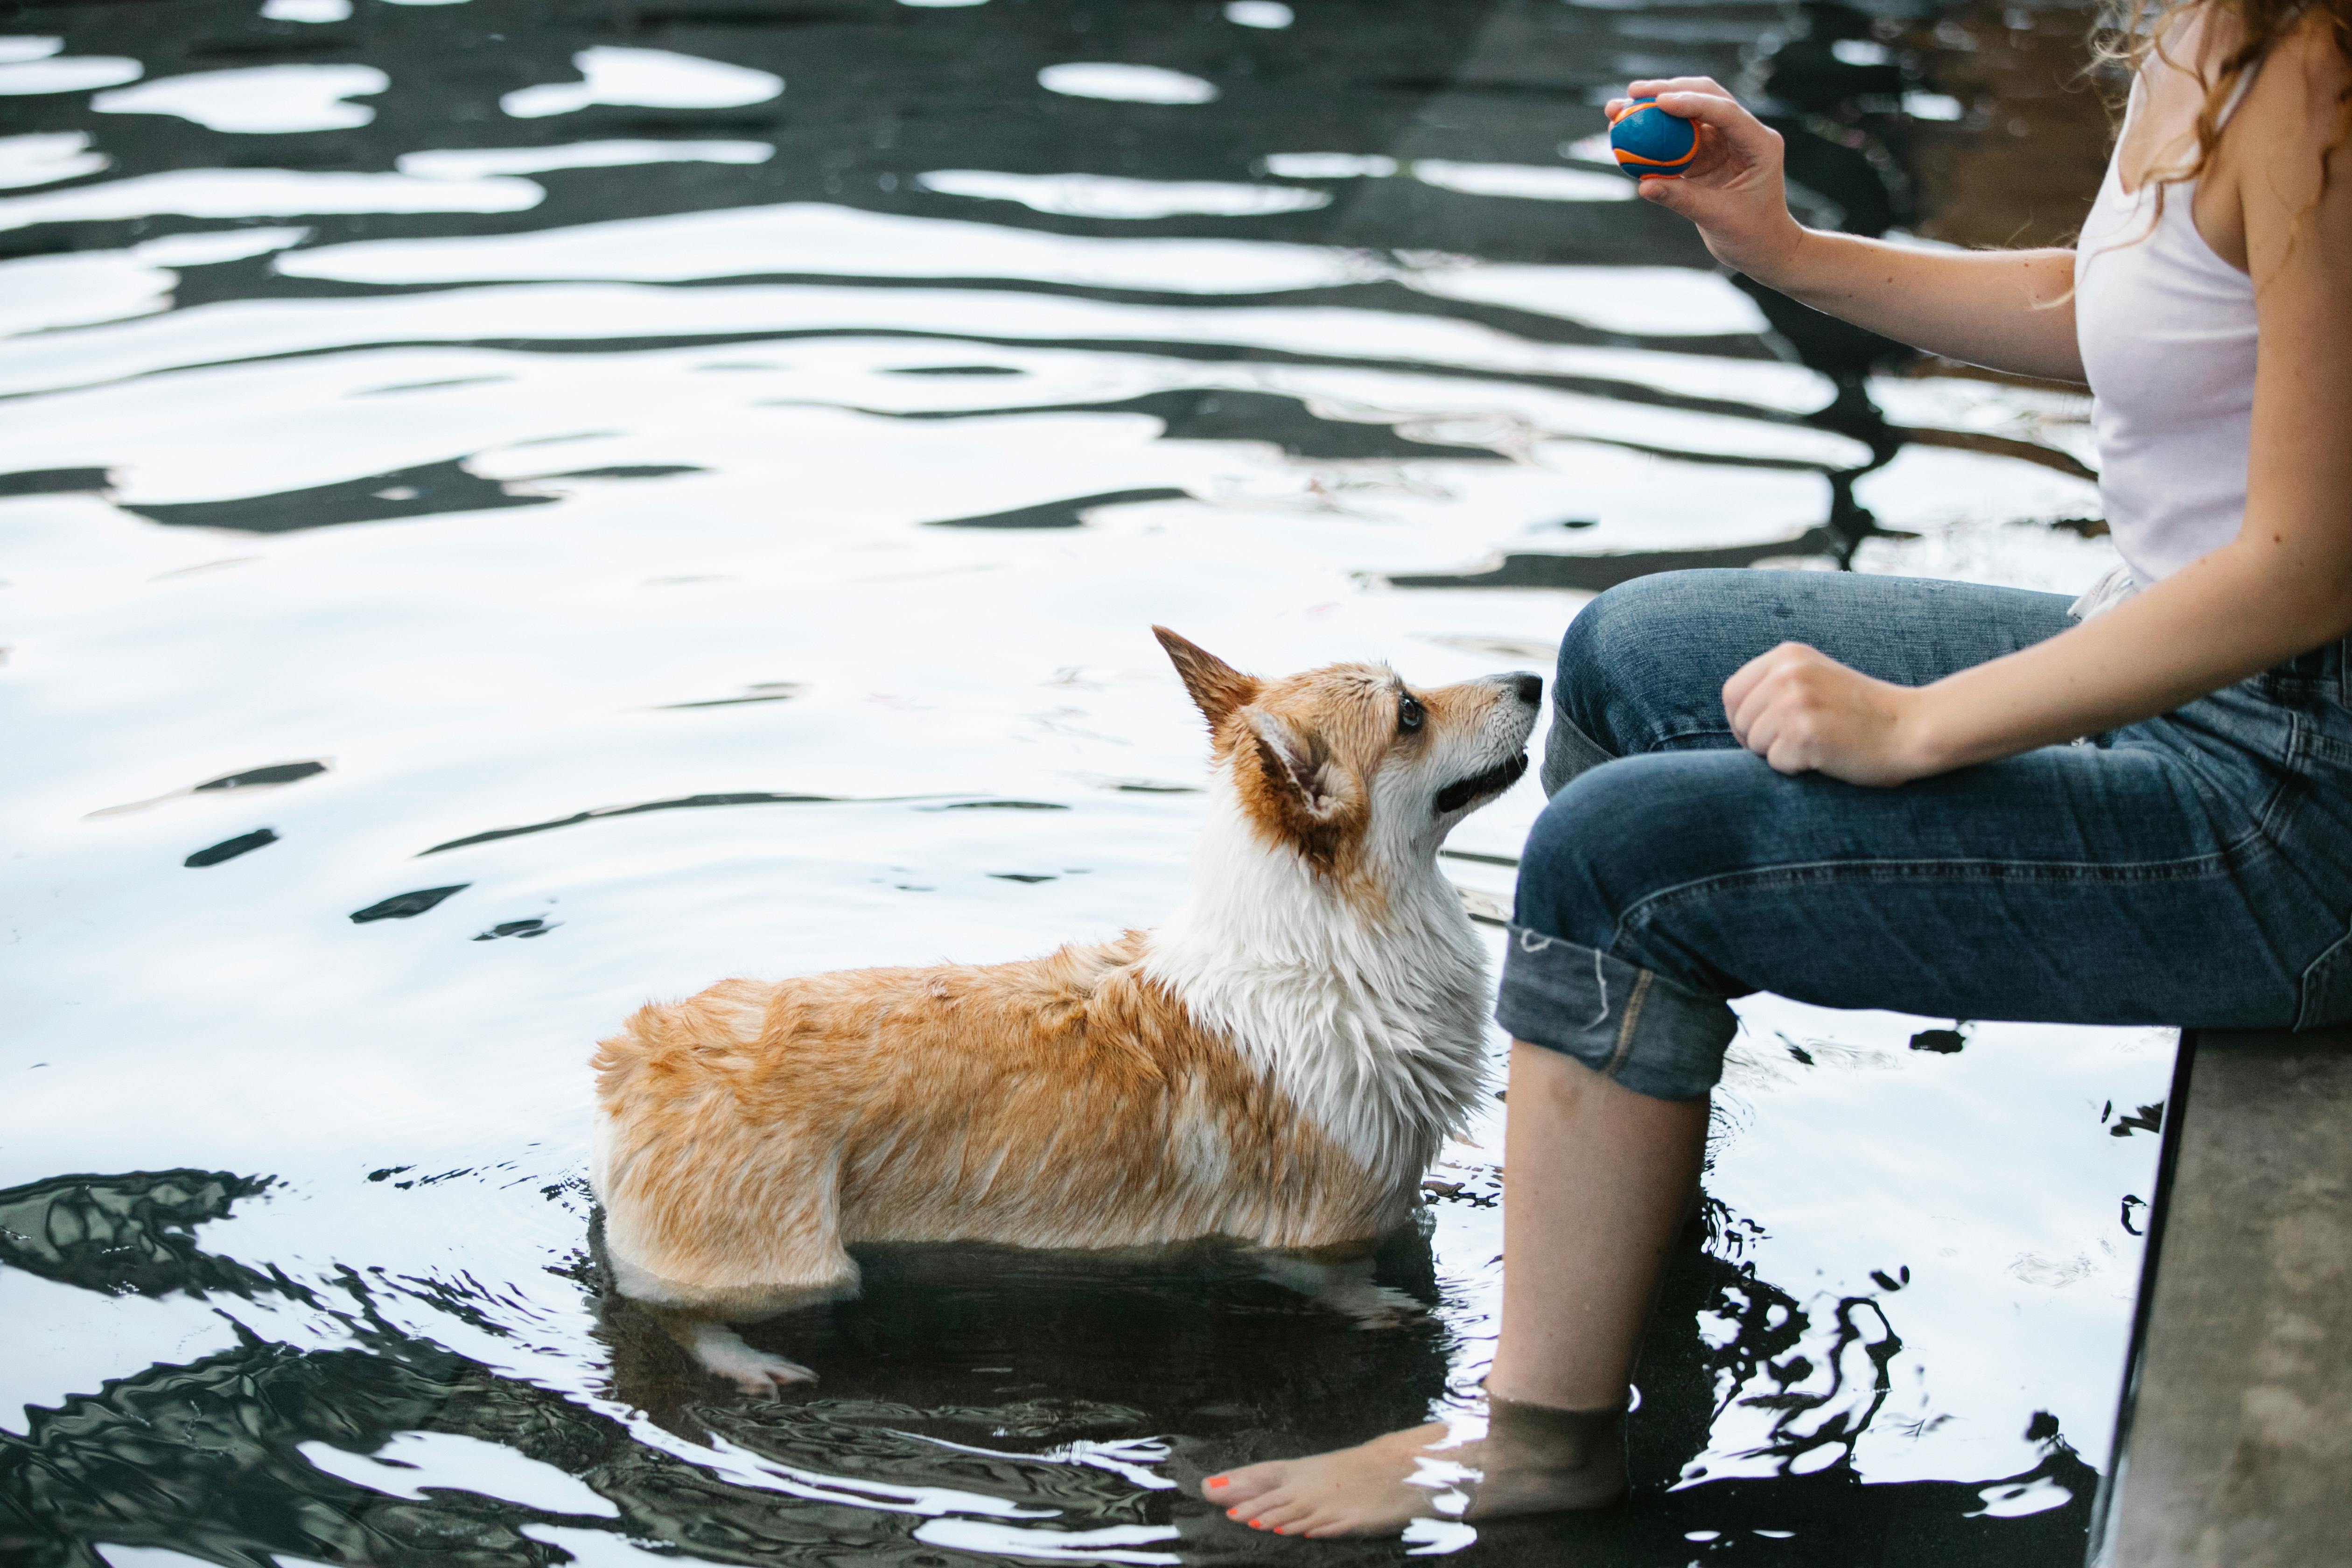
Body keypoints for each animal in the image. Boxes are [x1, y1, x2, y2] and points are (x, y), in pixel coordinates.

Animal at [588, 630, 1543, 1392]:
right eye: (1410, 714)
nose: (1535, 679)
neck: (1332, 947)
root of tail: (639, 1054)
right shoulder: (1317, 1235)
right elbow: (1339, 1287)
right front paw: (1387, 1306)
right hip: (788, 1269)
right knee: (679, 1314)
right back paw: (750, 1364)